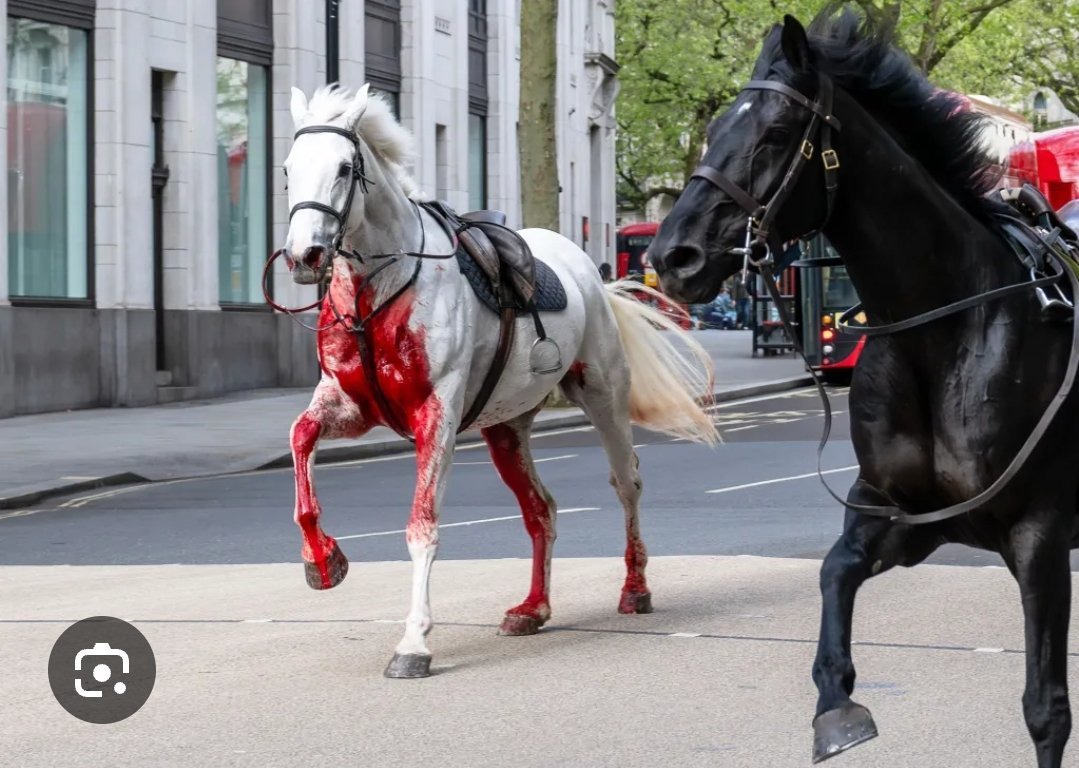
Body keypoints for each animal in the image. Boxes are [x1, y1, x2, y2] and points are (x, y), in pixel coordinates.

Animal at [278, 80, 716, 673]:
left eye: (346, 167)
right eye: (287, 169)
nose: (305, 255)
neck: (379, 288)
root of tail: (588, 270)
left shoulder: (436, 414)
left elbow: (422, 525)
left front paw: (414, 642)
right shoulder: (350, 405)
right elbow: (300, 438)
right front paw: (322, 561)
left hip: (603, 394)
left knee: (627, 483)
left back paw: (635, 588)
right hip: (506, 425)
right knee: (541, 509)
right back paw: (533, 608)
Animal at [647, 7, 1079, 768]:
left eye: (774, 133)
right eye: (715, 126)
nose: (673, 256)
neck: (944, 333)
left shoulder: (1041, 533)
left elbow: (1045, 708)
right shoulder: (898, 518)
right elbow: (833, 578)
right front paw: (837, 708)